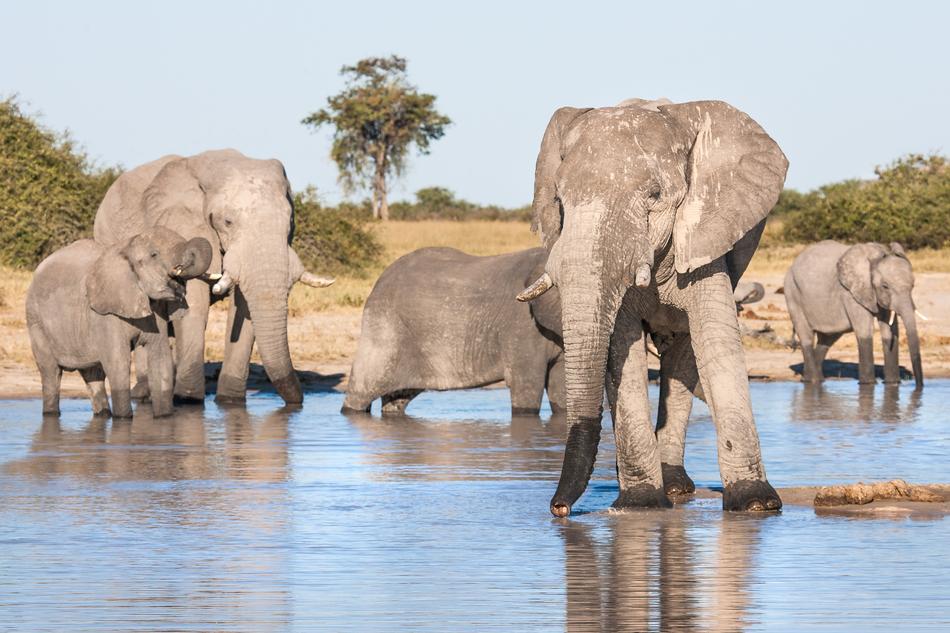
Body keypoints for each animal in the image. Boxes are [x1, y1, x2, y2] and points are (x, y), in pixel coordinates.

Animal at [26, 227, 212, 418]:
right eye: (154, 254)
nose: (181, 268)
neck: (127, 248)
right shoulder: (104, 314)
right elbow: (118, 362)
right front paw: (123, 419)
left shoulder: (157, 311)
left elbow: (160, 360)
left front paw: (164, 417)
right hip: (36, 321)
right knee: (51, 372)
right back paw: (51, 413)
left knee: (93, 374)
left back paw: (103, 414)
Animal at [93, 149, 333, 407]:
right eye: (227, 221)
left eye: (289, 221)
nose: (297, 403)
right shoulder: (183, 225)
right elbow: (194, 304)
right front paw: (188, 400)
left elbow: (245, 310)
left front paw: (229, 401)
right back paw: (144, 393)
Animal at [342, 247, 564, 415]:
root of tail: (379, 281)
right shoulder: (521, 327)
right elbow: (527, 388)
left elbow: (558, 388)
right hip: (383, 329)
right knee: (362, 391)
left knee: (397, 398)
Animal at [518, 98, 788, 515]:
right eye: (559, 201)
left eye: (655, 195)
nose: (559, 508)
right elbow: (621, 351)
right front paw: (641, 504)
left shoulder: (703, 235)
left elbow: (716, 341)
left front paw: (756, 504)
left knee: (683, 355)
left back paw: (677, 487)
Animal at [784, 240, 923, 388]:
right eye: (885, 286)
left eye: (913, 285)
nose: (919, 385)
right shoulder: (851, 293)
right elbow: (864, 331)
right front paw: (868, 385)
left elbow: (890, 331)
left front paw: (892, 384)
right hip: (792, 293)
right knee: (806, 336)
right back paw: (813, 381)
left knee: (827, 339)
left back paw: (811, 379)